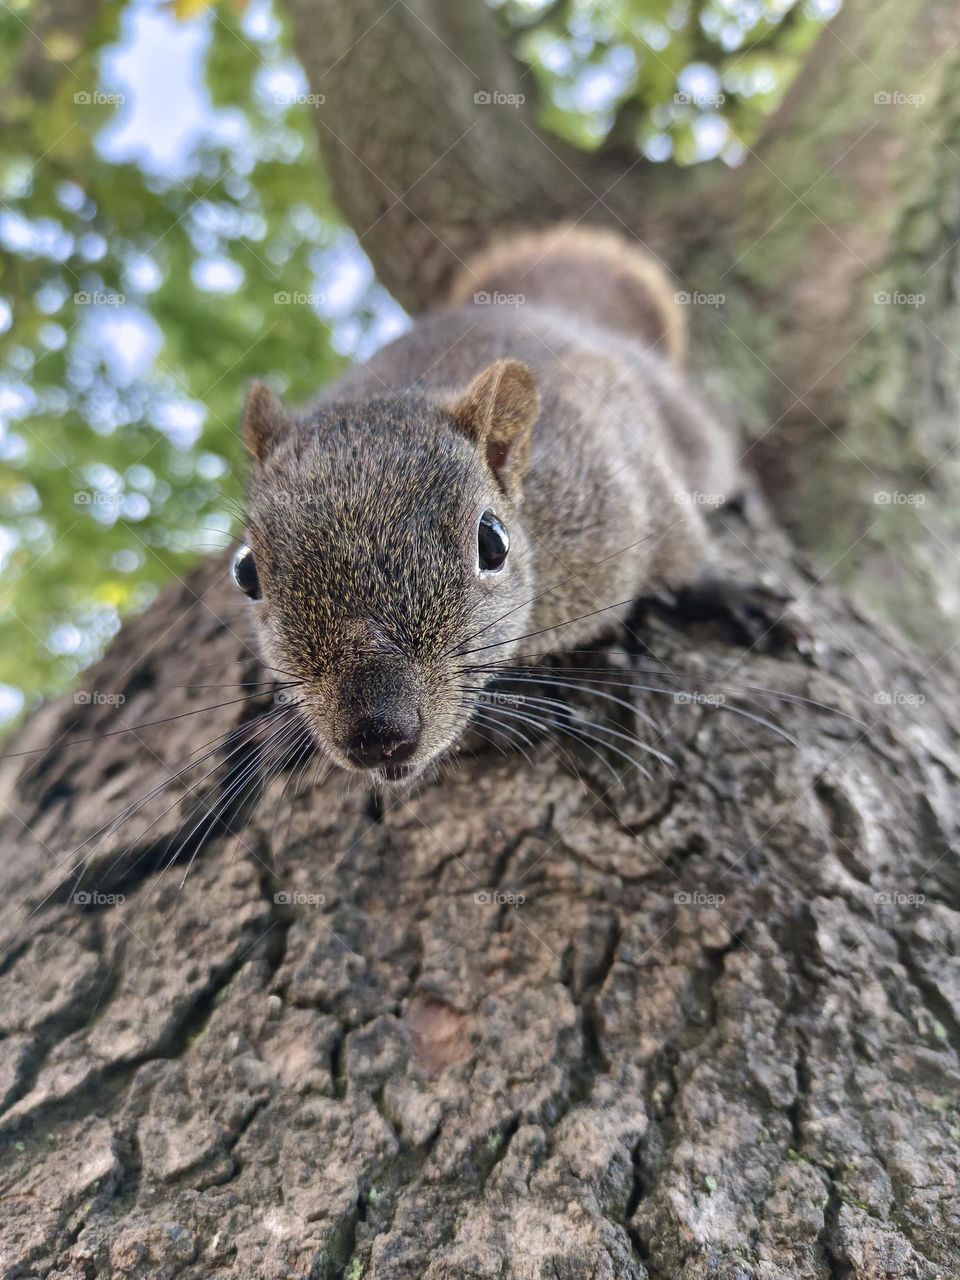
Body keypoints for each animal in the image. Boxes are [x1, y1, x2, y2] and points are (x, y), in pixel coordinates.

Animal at [235, 224, 738, 784]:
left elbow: (676, 537)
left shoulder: (614, 460)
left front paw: (714, 589)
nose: (378, 735)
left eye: (493, 542)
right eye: (245, 573)